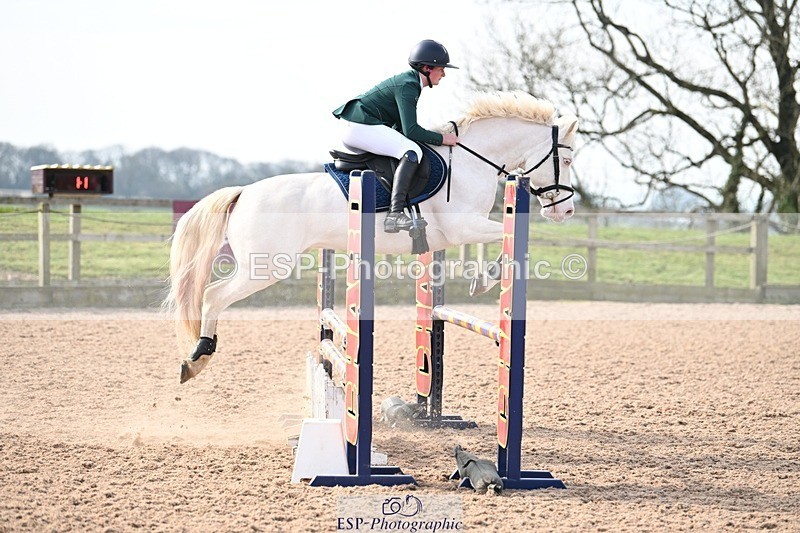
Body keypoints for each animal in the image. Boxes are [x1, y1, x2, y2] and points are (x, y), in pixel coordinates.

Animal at [164, 91, 579, 383]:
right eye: (568, 160)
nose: (566, 212)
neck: (471, 161)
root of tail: (244, 192)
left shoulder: (457, 232)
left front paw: (481, 277)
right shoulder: (464, 224)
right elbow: (508, 240)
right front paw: (486, 279)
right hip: (265, 267)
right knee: (213, 295)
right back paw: (198, 358)